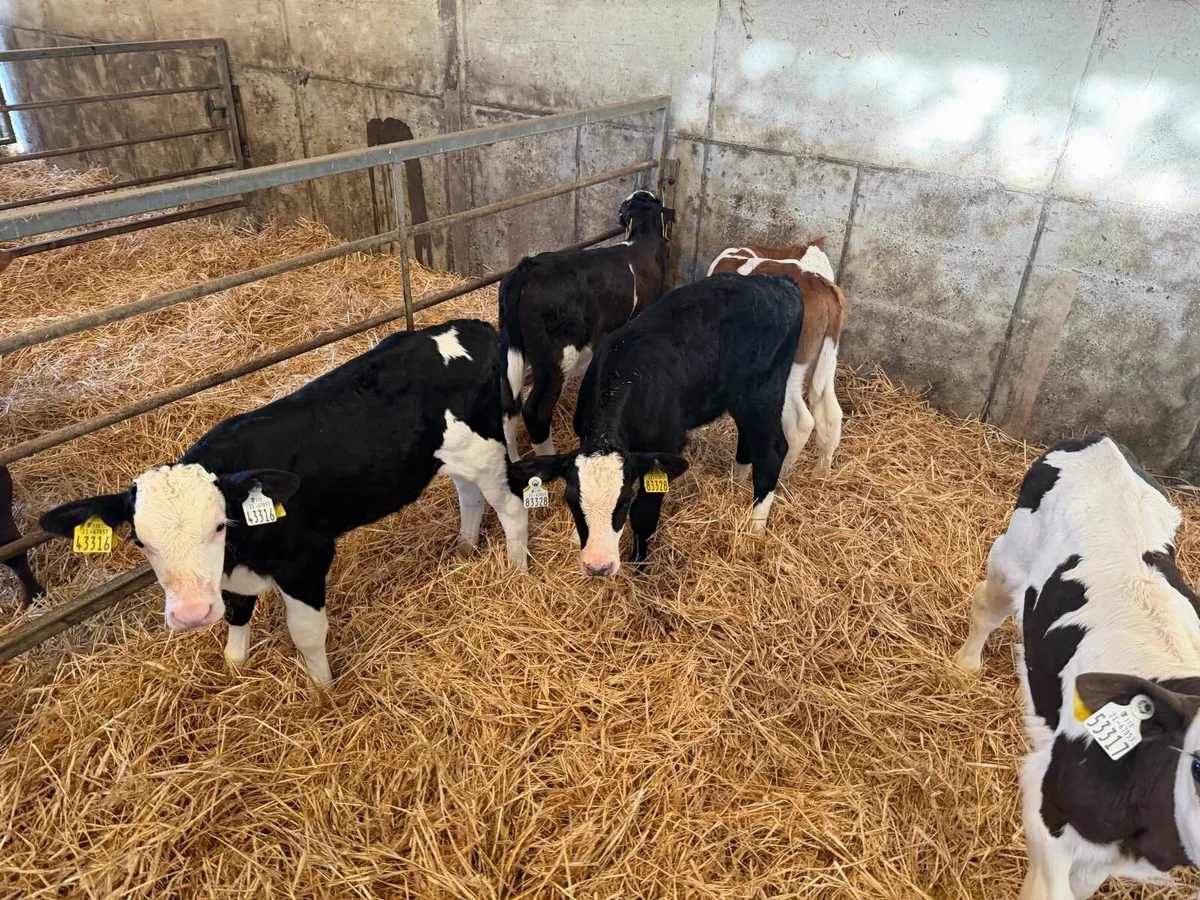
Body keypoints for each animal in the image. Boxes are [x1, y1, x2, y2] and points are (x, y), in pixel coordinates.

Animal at [39, 319, 528, 687]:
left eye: (218, 526)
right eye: (141, 543)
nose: (192, 614)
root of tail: (471, 326)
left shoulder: (306, 558)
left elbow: (307, 634)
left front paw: (324, 694)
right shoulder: (230, 575)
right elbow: (236, 621)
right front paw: (235, 667)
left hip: (487, 450)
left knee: (512, 510)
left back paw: (516, 571)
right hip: (451, 455)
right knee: (468, 494)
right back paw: (465, 547)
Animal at [499, 190, 674, 462]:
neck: (643, 238)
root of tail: (527, 268)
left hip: (512, 347)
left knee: (508, 403)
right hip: (559, 353)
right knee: (535, 411)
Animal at [507, 272, 804, 577]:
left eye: (624, 501)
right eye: (571, 501)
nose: (598, 567)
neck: (628, 376)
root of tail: (778, 280)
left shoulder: (664, 448)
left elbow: (644, 515)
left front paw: (639, 565)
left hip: (764, 392)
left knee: (773, 451)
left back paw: (755, 527)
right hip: (739, 397)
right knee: (748, 438)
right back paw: (737, 480)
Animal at [707, 238, 844, 476]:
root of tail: (821, 287)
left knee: (800, 422)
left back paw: (781, 472)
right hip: (825, 359)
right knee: (830, 412)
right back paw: (821, 473)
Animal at [955, 434, 1200, 898]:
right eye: (1197, 765)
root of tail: (1103, 441)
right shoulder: (1046, 809)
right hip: (1012, 554)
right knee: (987, 603)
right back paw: (964, 666)